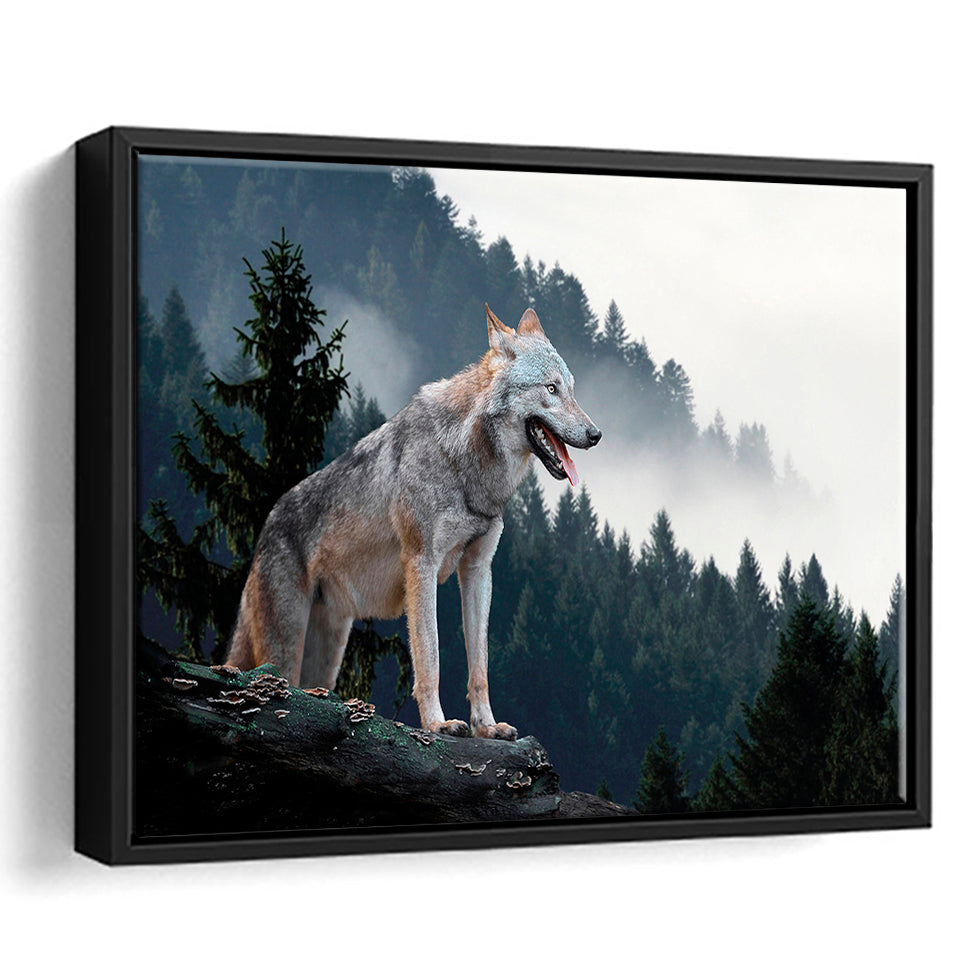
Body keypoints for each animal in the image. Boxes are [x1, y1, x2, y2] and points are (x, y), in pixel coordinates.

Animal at [225, 304, 601, 739]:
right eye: (550, 389)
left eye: (571, 389)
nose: (596, 434)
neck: (464, 463)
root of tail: (265, 527)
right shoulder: (422, 564)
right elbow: (431, 657)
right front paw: (438, 723)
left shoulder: (478, 570)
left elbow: (480, 666)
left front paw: (487, 727)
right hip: (286, 649)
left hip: (326, 657)